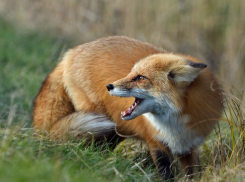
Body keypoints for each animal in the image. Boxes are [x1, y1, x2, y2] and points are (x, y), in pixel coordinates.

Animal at [33, 36, 223, 181]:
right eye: (131, 74)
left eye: (140, 77)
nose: (109, 86)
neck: (174, 123)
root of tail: (70, 53)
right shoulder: (156, 141)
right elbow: (165, 173)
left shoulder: (189, 146)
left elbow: (193, 173)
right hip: (103, 122)